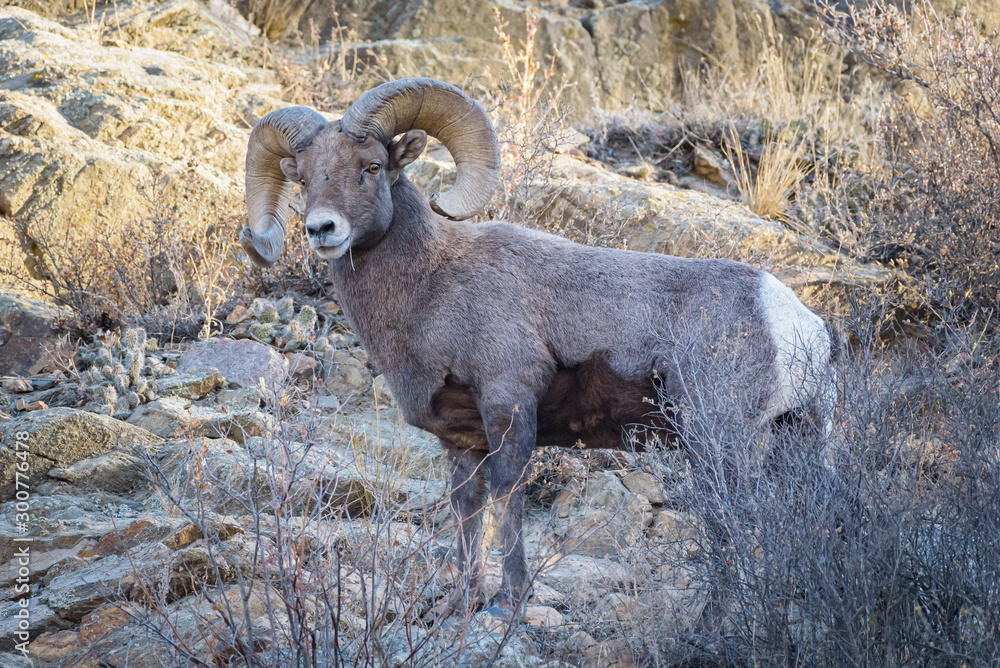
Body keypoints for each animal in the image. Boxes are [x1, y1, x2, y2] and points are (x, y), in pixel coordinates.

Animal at [240, 78, 839, 619]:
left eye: (370, 167)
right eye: (304, 177)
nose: (322, 228)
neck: (434, 284)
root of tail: (798, 326)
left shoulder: (509, 404)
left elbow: (508, 499)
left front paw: (509, 602)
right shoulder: (462, 440)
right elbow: (467, 511)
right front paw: (460, 604)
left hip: (721, 441)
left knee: (733, 521)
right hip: (793, 438)